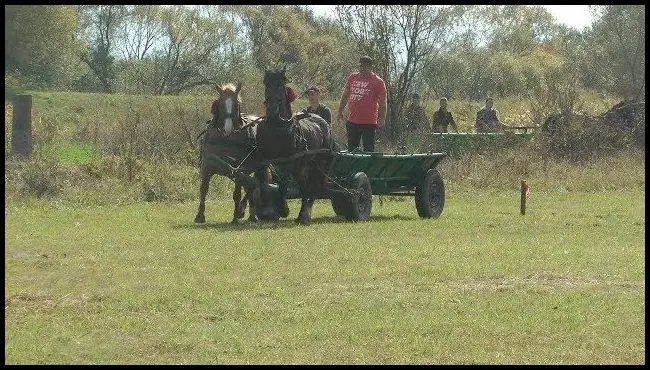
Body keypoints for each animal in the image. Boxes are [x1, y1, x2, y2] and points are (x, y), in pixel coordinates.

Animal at [194, 82, 264, 224]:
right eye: (220, 103)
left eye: (237, 104)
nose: (228, 128)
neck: (225, 139)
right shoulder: (206, 166)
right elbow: (204, 189)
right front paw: (199, 215)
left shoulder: (237, 169)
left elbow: (236, 193)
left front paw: (236, 216)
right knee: (250, 186)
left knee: (253, 185)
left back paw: (248, 213)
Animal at [254, 66, 334, 225]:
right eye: (266, 84)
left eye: (281, 85)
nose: (272, 110)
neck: (277, 126)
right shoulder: (268, 160)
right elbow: (274, 182)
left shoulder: (290, 161)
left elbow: (283, 184)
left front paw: (283, 209)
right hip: (304, 167)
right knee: (306, 187)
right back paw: (301, 214)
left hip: (319, 163)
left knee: (314, 188)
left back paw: (305, 215)